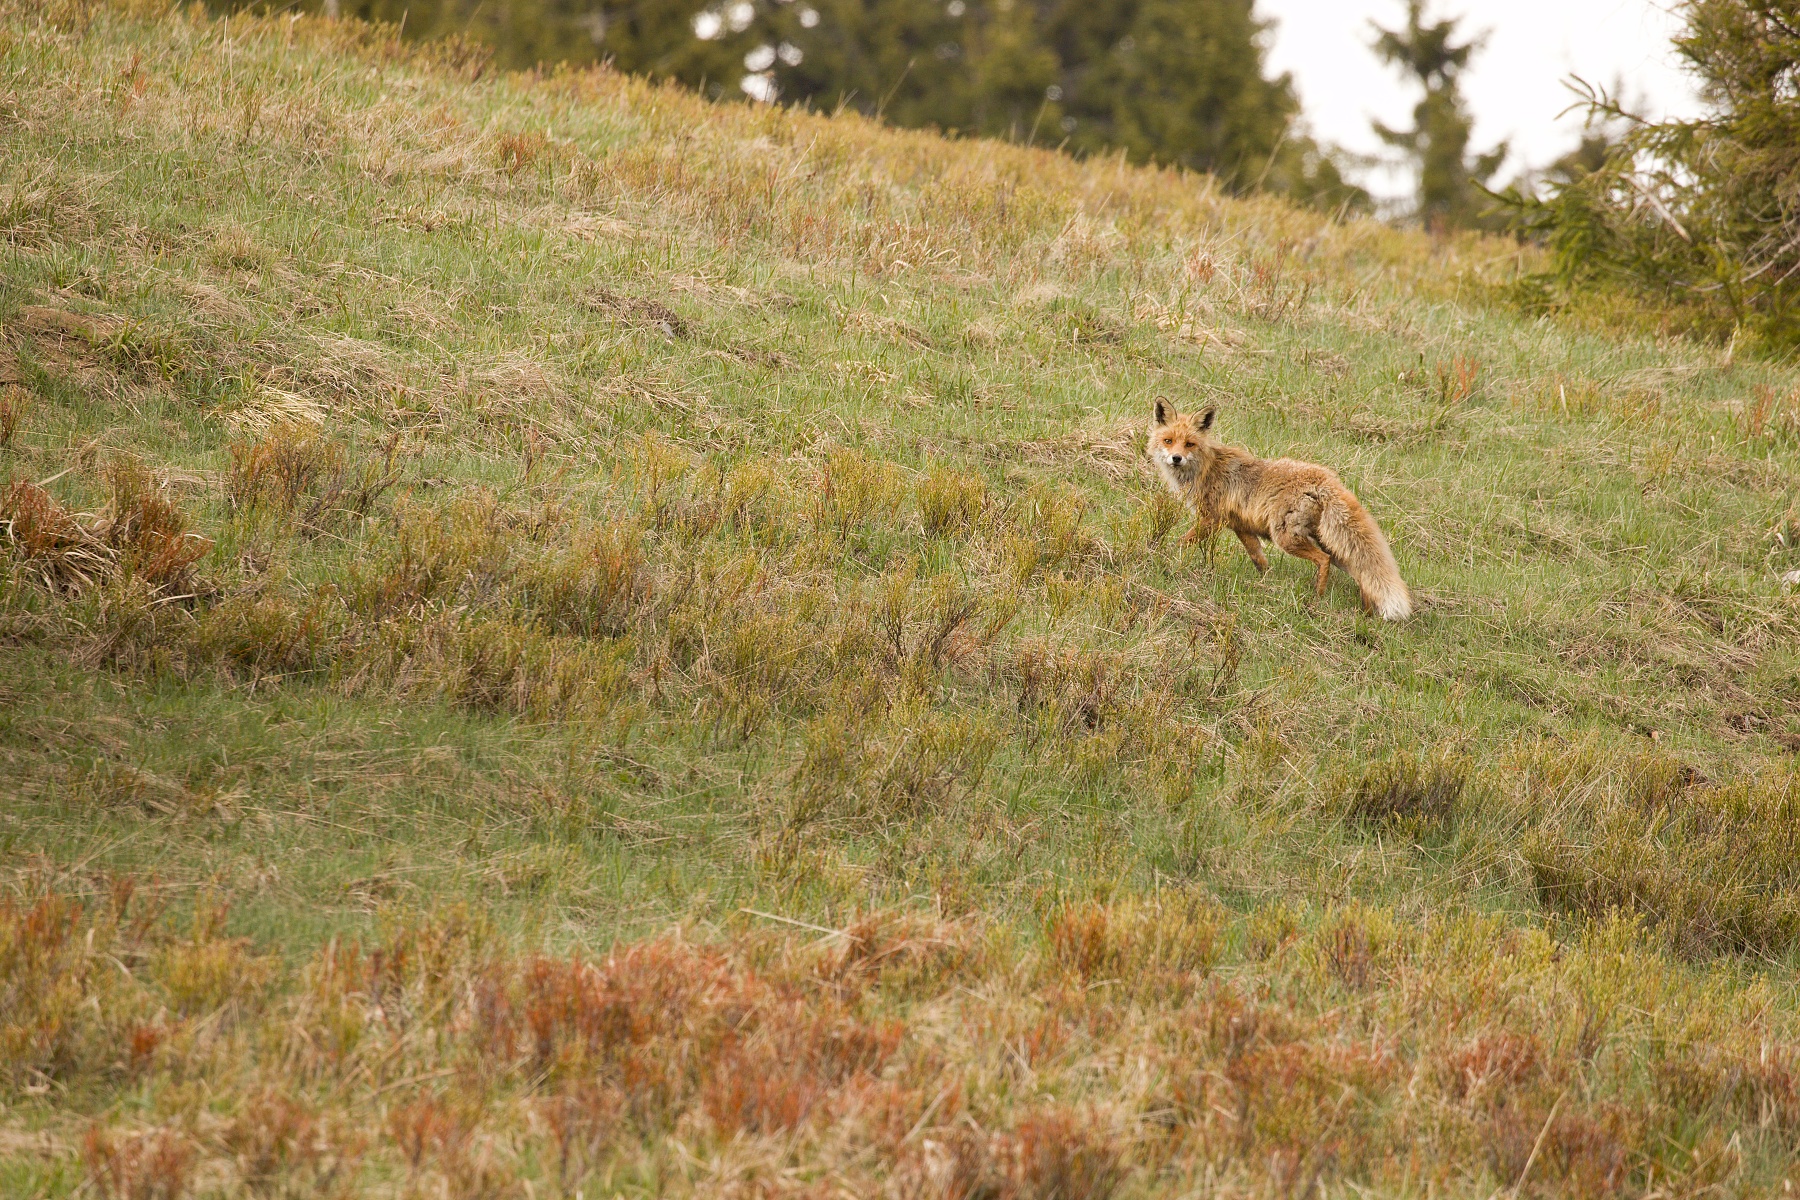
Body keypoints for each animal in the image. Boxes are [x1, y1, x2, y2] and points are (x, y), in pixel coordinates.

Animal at [1144, 402, 1411, 626]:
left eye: (1189, 444)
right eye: (1168, 440)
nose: (1176, 458)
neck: (1206, 468)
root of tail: (1326, 479)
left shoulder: (1211, 519)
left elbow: (1181, 543)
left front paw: (1159, 555)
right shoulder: (1241, 526)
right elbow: (1259, 559)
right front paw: (1266, 582)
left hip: (1287, 538)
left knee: (1324, 561)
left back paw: (1317, 599)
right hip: (1332, 544)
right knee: (1363, 576)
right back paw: (1366, 615)